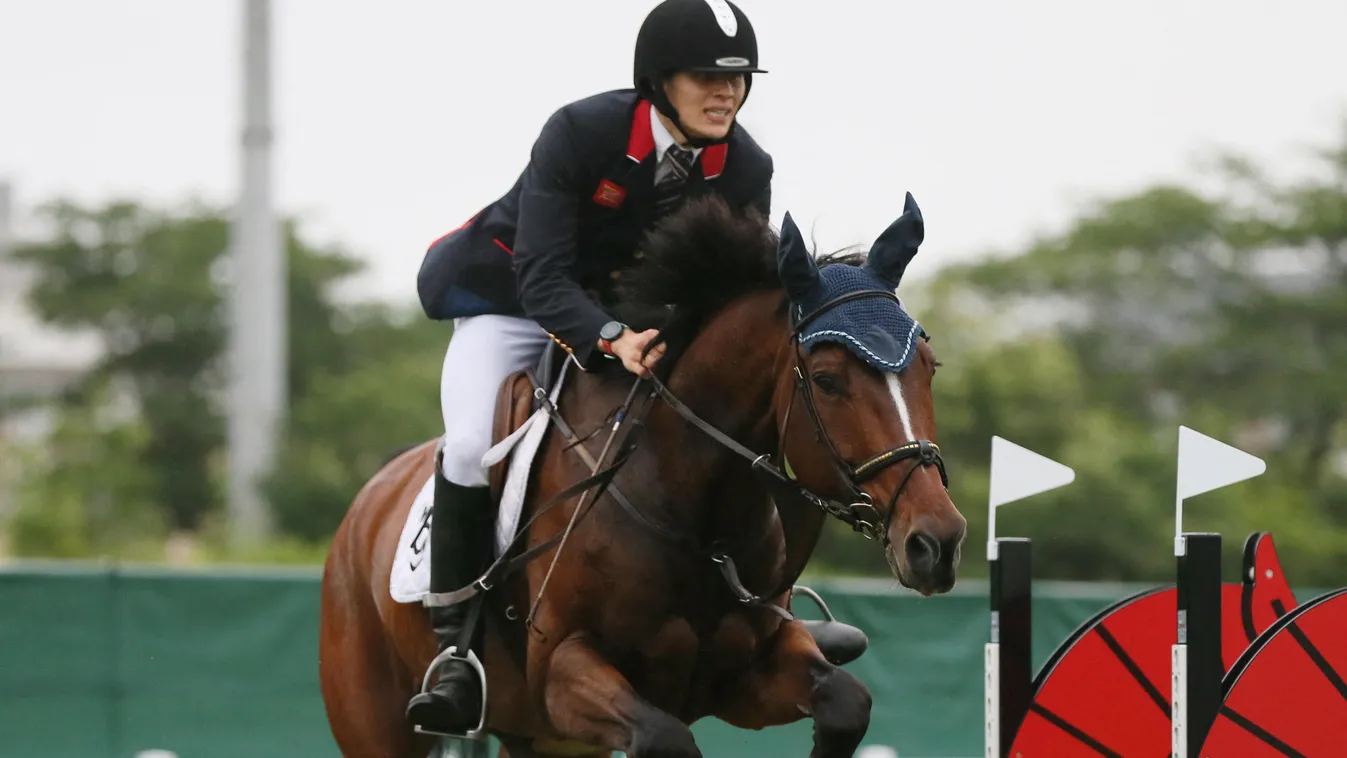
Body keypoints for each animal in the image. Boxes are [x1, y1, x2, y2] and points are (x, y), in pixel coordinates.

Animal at [319, 192, 964, 753]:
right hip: (382, 721)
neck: (697, 517)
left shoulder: (749, 676)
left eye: (929, 368)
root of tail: (366, 503)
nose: (938, 543)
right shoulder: (562, 673)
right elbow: (664, 737)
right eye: (828, 380)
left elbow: (846, 704)